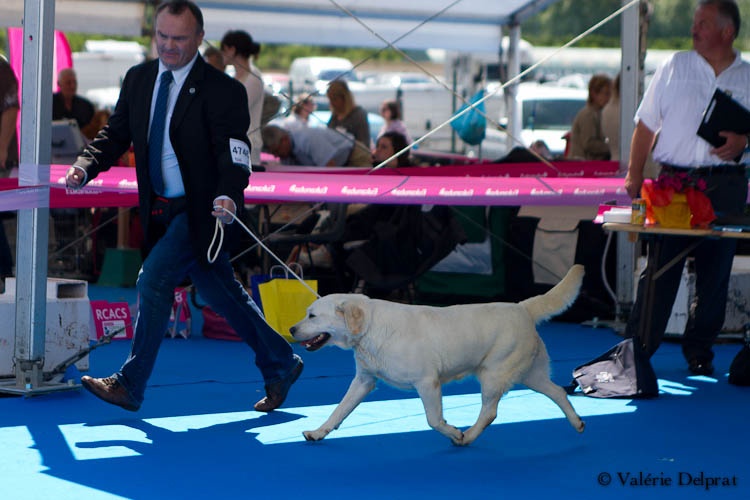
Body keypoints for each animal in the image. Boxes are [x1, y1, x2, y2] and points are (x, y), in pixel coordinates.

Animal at [290, 265, 586, 445]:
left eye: (312, 316)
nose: (291, 329)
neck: (370, 329)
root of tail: (522, 308)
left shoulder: (427, 383)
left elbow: (433, 420)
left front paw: (453, 431)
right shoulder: (364, 380)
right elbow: (338, 410)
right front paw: (317, 432)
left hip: (494, 374)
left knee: (490, 412)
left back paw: (467, 437)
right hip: (530, 374)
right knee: (558, 392)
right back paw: (578, 423)